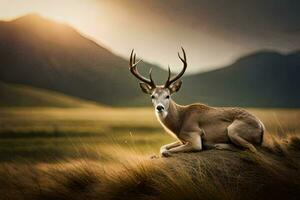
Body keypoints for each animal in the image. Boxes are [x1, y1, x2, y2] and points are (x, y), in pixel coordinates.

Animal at [127, 47, 264, 157]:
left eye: (168, 96)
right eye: (152, 96)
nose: (160, 108)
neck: (180, 122)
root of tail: (261, 126)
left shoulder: (194, 136)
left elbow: (166, 151)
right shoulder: (181, 139)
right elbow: (162, 147)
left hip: (233, 130)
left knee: (252, 149)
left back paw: (219, 145)